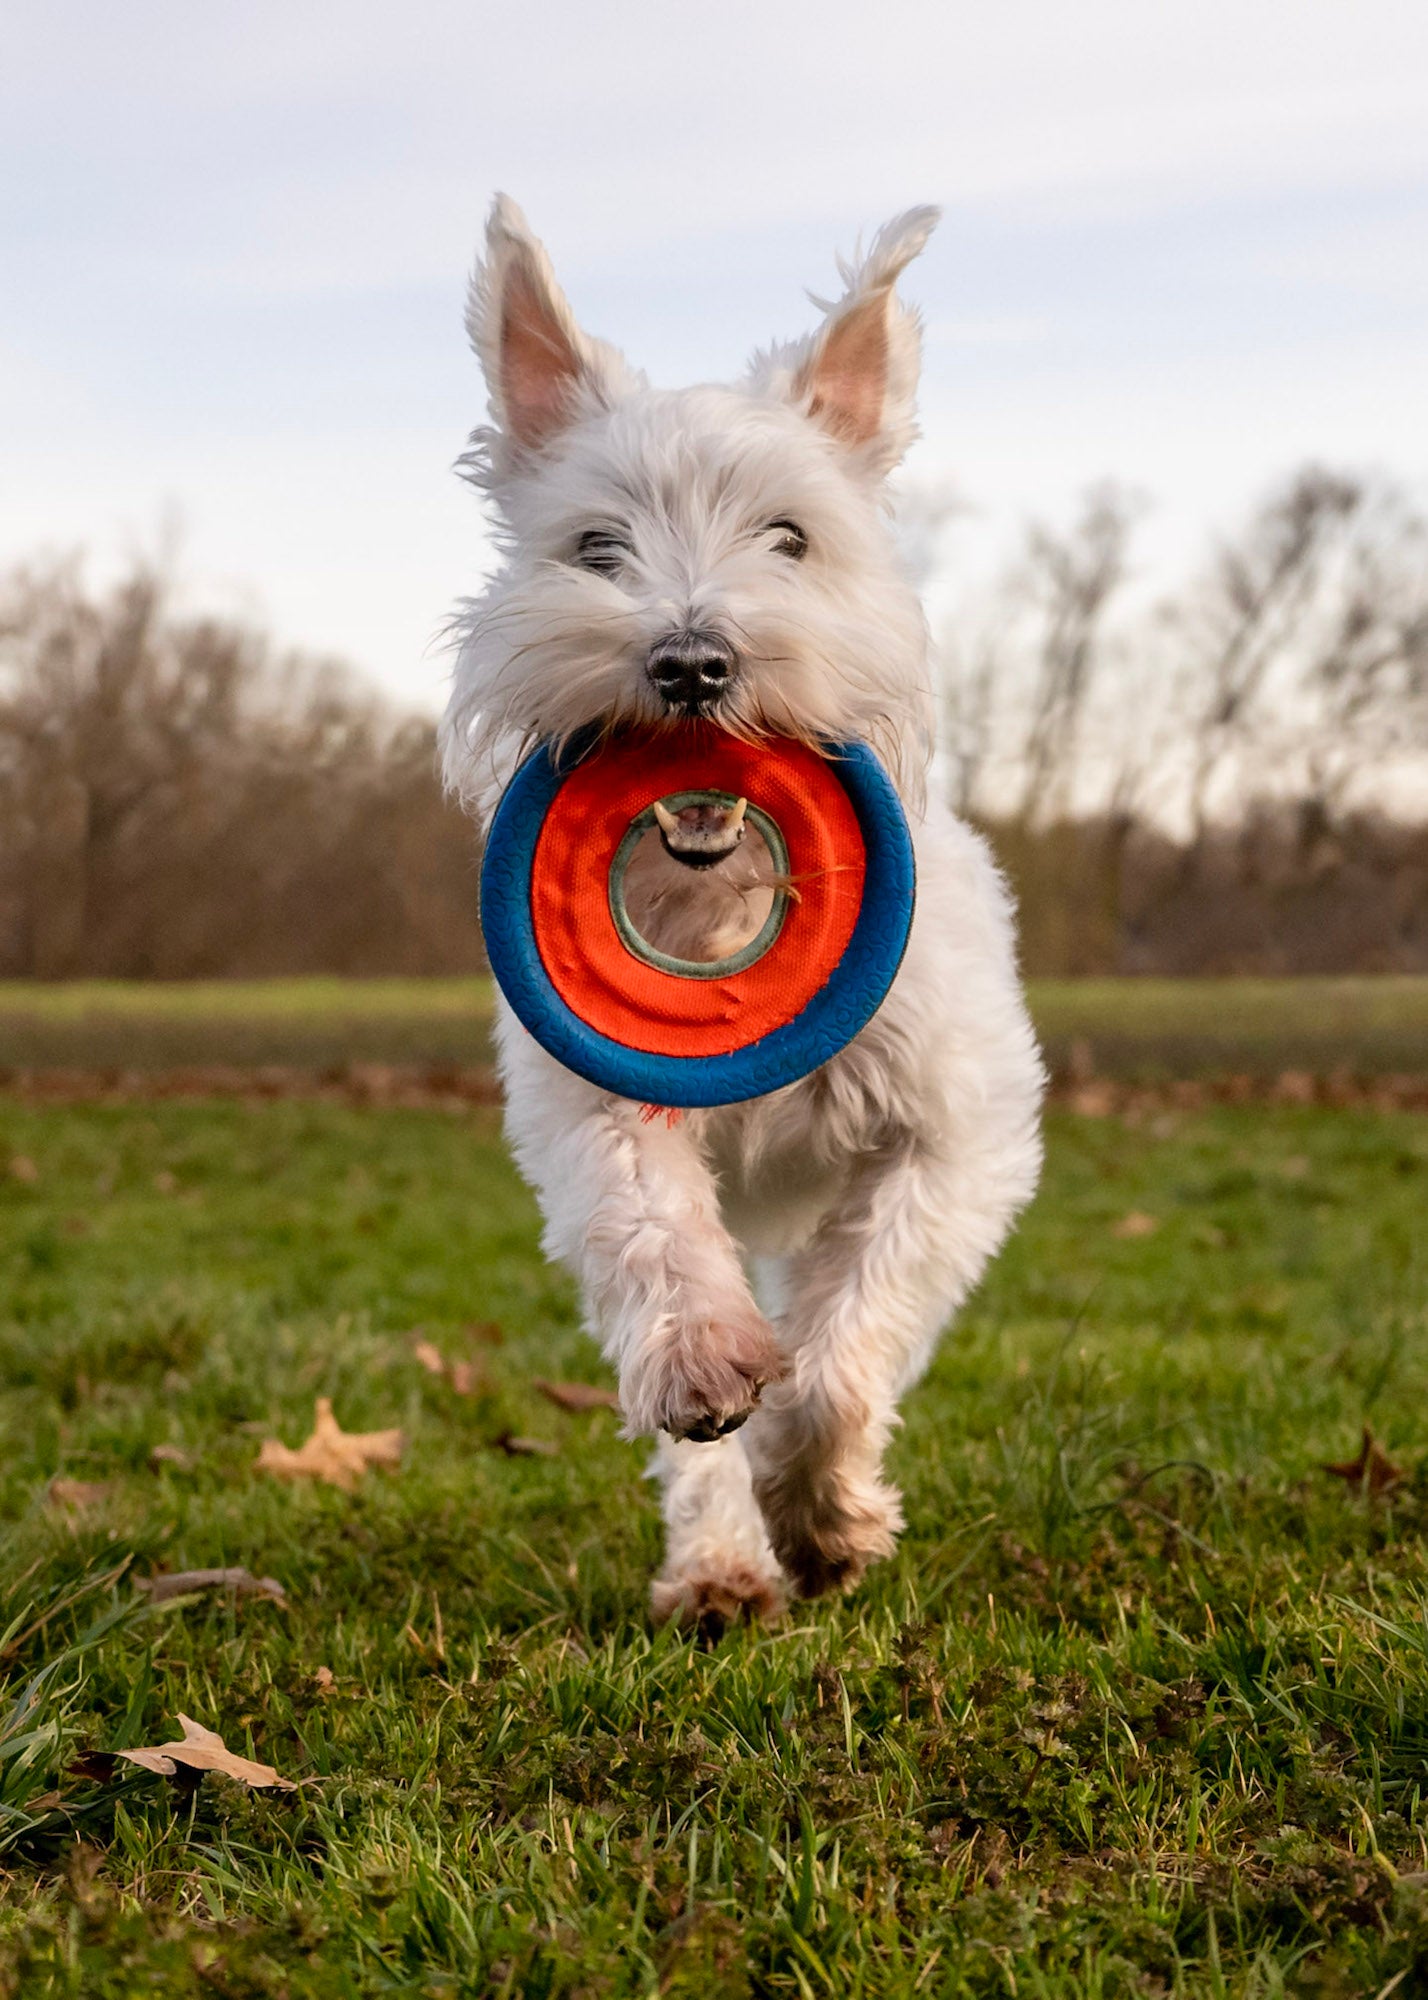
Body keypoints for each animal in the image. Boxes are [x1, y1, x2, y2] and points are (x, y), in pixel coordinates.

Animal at [440, 195, 1040, 1632]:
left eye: (791, 538)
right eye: (597, 546)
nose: (692, 663)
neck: (721, 915)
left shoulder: (955, 1140)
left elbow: (846, 1343)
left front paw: (823, 1509)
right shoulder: (590, 1104)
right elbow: (653, 1231)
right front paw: (712, 1374)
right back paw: (718, 1566)